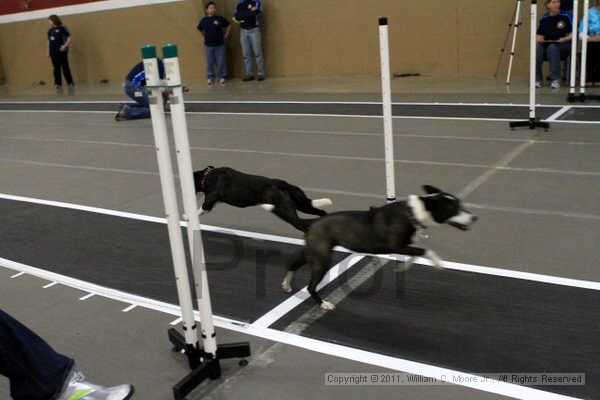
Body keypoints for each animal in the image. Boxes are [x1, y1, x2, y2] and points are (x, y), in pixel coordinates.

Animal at [193, 167, 330, 233]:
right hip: (303, 205)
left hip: (287, 213)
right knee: (322, 212)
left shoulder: (207, 205)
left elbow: (197, 212)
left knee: (304, 225)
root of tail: (280, 183)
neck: (206, 176)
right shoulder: (213, 204)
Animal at [284, 186, 476, 310]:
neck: (413, 213)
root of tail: (312, 222)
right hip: (322, 259)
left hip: (313, 252)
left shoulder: (405, 245)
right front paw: (437, 262)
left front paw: (403, 266)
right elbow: (424, 250)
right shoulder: (396, 246)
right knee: (310, 286)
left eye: (460, 204)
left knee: (293, 264)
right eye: (453, 209)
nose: (474, 218)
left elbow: (416, 251)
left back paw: (286, 284)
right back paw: (324, 304)